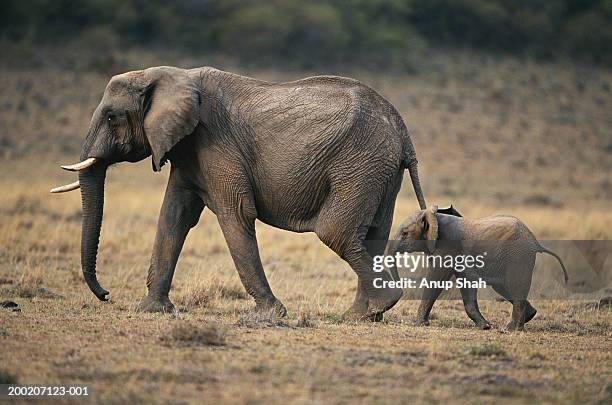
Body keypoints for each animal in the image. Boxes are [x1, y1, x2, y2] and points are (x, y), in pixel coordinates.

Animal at [52, 66, 426, 318]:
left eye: (111, 117)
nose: (105, 294)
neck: (169, 75)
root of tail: (404, 132)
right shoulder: (188, 151)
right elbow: (174, 216)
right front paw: (153, 310)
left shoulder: (215, 143)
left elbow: (236, 214)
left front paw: (270, 316)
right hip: (379, 171)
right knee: (371, 234)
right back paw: (361, 316)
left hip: (360, 162)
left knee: (336, 233)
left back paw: (378, 306)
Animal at [392, 205, 568, 328]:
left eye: (405, 233)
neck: (433, 216)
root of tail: (535, 242)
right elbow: (466, 283)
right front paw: (485, 326)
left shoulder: (448, 246)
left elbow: (436, 277)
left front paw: (418, 324)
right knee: (505, 287)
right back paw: (528, 317)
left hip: (518, 255)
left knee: (514, 285)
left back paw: (511, 328)